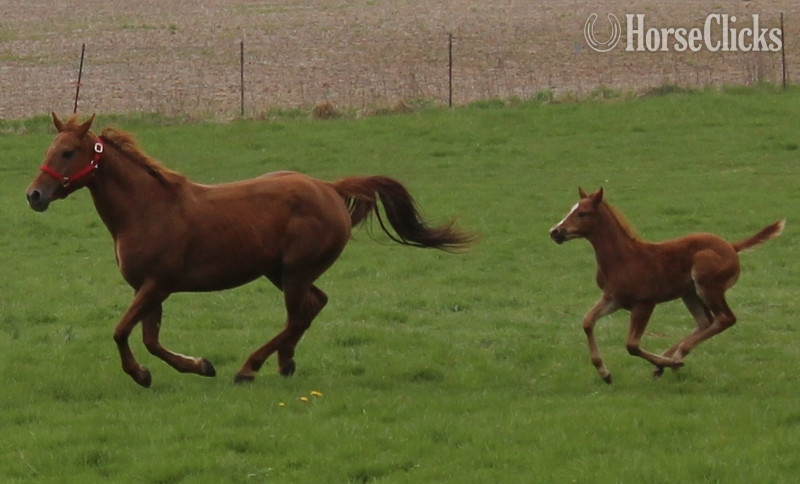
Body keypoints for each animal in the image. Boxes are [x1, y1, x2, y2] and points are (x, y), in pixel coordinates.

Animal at [25, 113, 475, 388]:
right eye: (48, 151)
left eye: (67, 152)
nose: (34, 195)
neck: (146, 208)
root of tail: (329, 188)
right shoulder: (151, 289)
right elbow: (151, 339)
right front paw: (197, 366)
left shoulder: (156, 284)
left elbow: (121, 331)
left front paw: (142, 374)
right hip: (282, 272)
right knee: (314, 306)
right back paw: (284, 362)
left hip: (295, 272)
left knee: (298, 315)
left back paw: (249, 368)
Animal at [549, 188, 784, 384]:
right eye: (572, 209)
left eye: (582, 213)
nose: (555, 232)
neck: (622, 258)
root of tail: (731, 247)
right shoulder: (613, 299)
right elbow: (588, 321)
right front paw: (604, 373)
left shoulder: (644, 303)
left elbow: (632, 345)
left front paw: (667, 363)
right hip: (690, 293)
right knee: (705, 322)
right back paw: (670, 358)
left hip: (707, 286)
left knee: (725, 318)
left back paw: (675, 358)